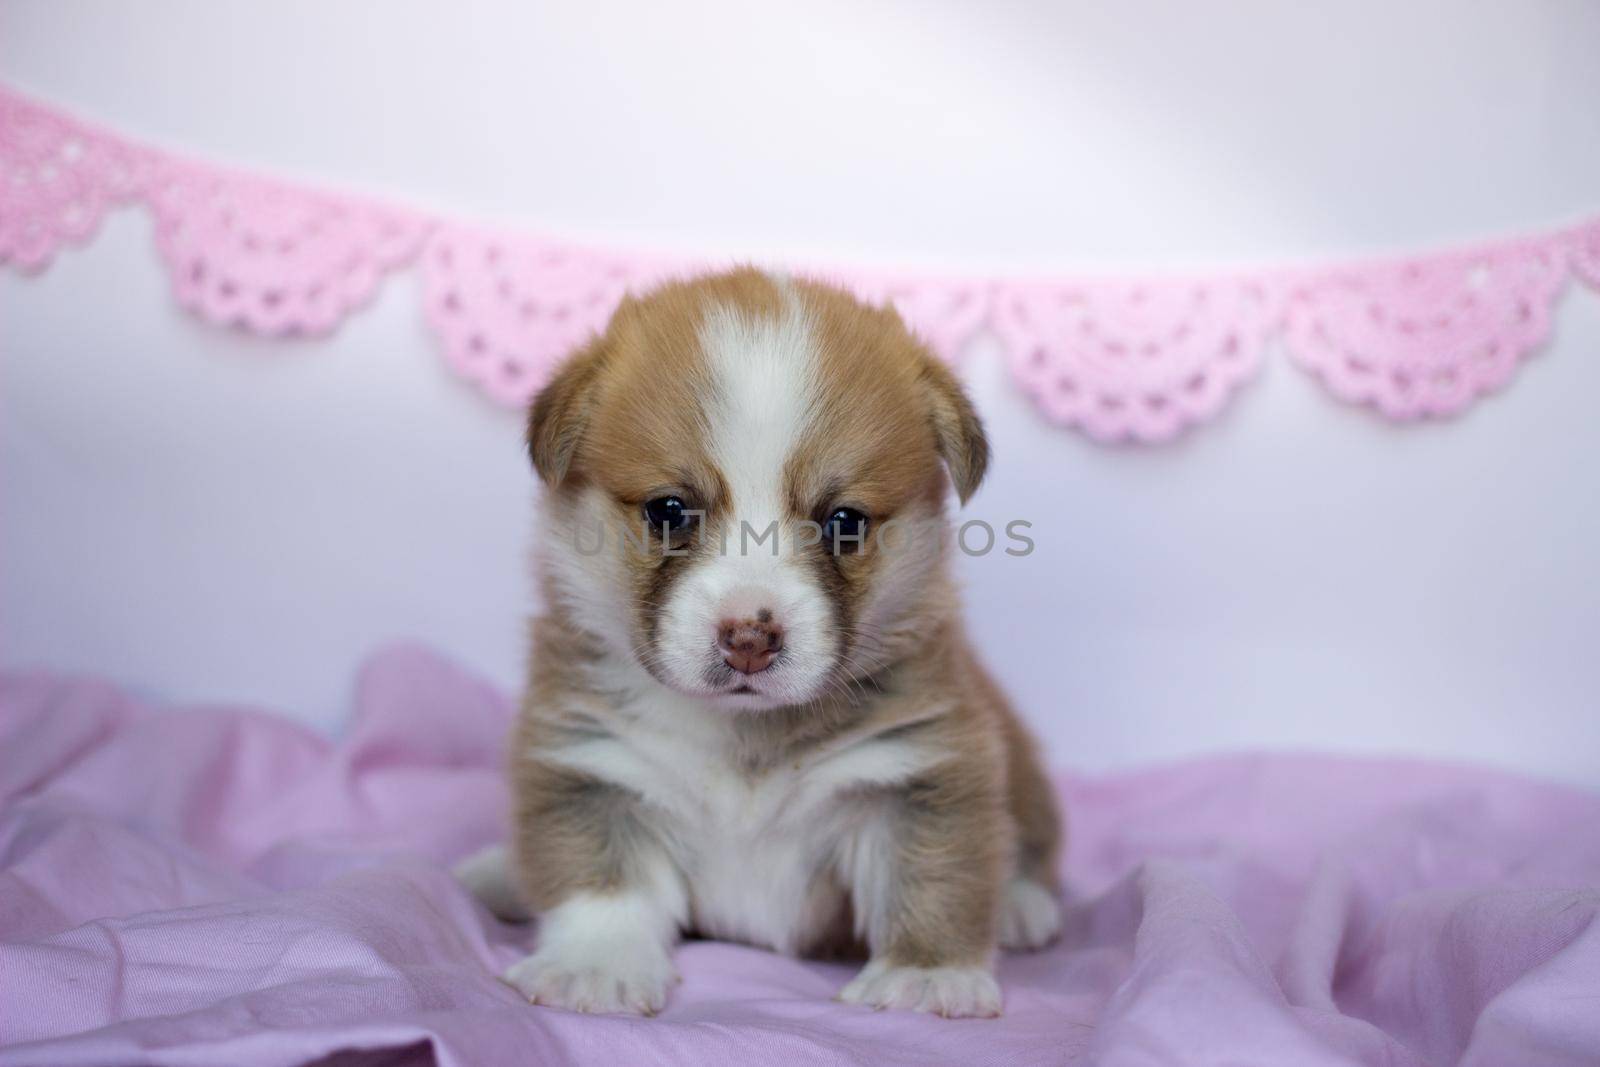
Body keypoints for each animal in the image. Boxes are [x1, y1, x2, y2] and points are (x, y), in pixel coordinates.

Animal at [457, 267, 1062, 1017]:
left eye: (845, 522)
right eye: (668, 509)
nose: (750, 637)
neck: (743, 736)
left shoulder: (914, 770)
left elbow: (932, 871)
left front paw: (927, 976)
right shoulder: (596, 764)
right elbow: (601, 881)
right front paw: (594, 967)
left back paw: (1020, 905)